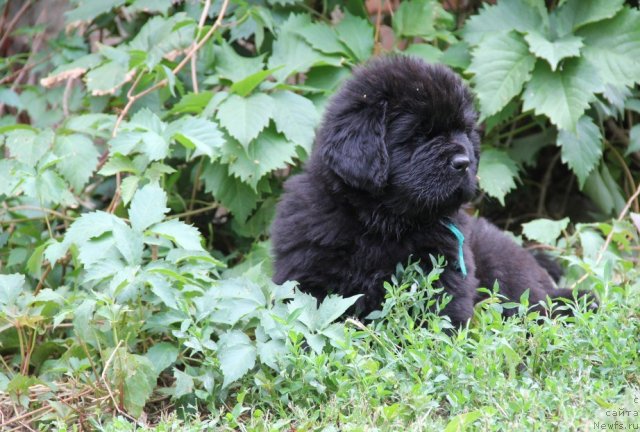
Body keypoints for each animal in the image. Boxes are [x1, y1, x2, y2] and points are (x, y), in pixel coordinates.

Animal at [272, 55, 596, 326]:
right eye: (418, 135)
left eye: (464, 131)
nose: (464, 163)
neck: (382, 223)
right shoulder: (306, 273)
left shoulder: (445, 272)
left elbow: (440, 318)